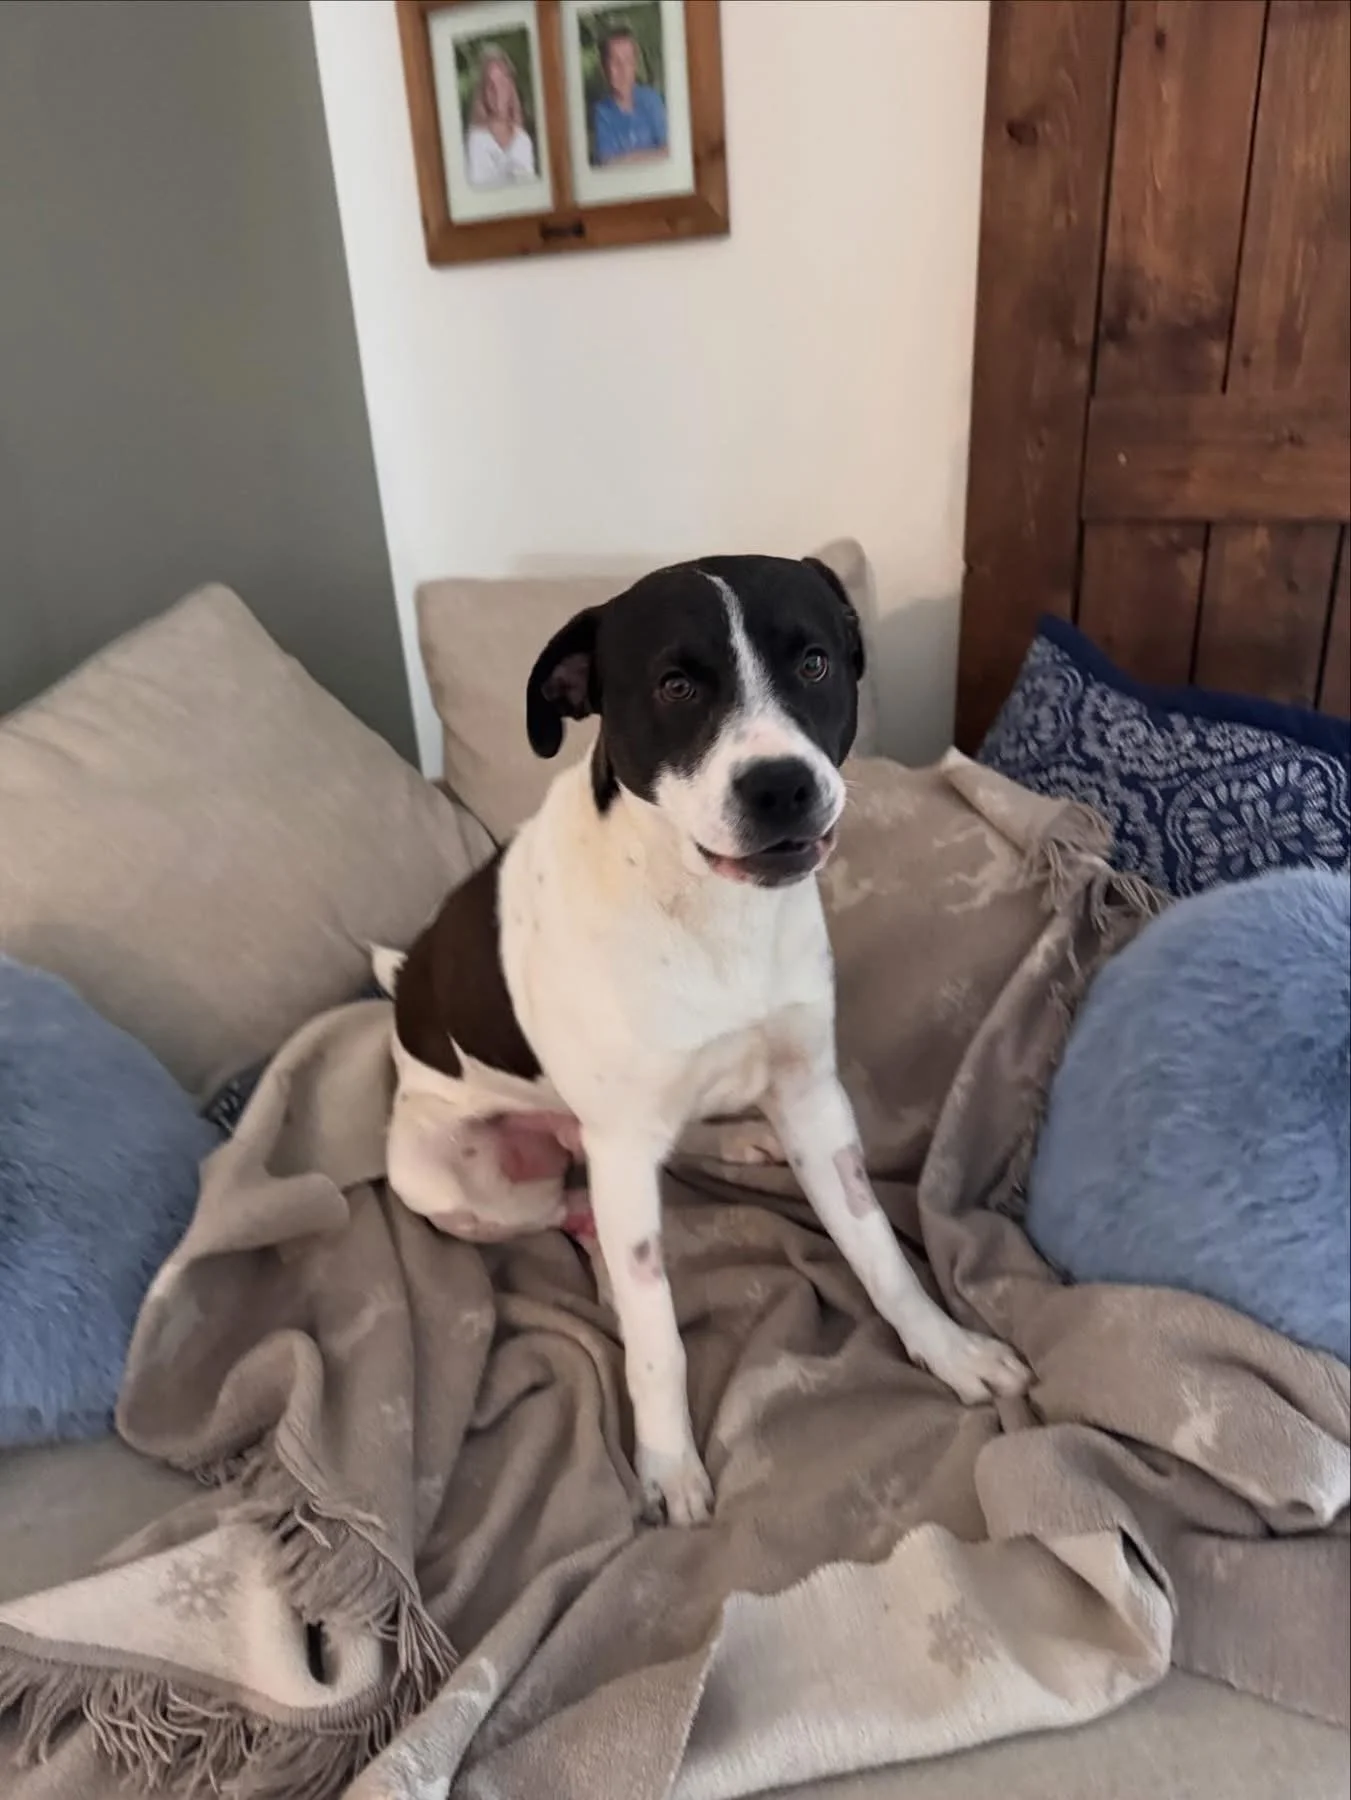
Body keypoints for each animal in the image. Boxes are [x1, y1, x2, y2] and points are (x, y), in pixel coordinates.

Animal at [381, 555, 1029, 1524]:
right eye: (675, 685)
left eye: (813, 663)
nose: (780, 787)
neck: (708, 909)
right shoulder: (621, 1147)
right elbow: (657, 1338)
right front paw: (667, 1463)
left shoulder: (812, 1096)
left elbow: (878, 1251)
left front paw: (947, 1350)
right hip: (450, 1178)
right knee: (572, 1214)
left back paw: (736, 1142)